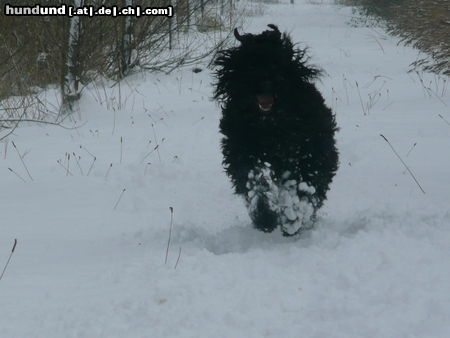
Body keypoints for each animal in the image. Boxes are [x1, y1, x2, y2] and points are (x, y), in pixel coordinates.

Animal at [214, 24, 338, 235]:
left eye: (276, 63)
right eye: (251, 64)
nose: (265, 81)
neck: (270, 125)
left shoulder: (309, 153)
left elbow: (305, 185)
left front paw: (293, 217)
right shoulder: (242, 152)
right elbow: (255, 182)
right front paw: (264, 216)